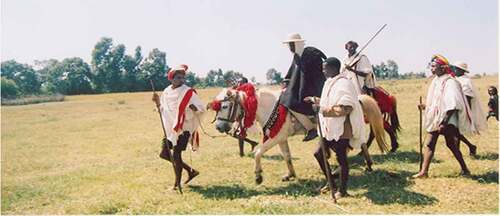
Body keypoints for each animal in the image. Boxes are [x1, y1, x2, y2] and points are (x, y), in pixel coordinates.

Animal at [205, 85, 388, 185]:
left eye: (224, 106)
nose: (219, 127)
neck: (265, 105)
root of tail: (356, 99)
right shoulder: (281, 137)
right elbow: (287, 156)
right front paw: (290, 174)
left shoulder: (275, 137)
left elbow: (257, 152)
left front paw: (258, 176)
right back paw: (364, 164)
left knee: (355, 144)